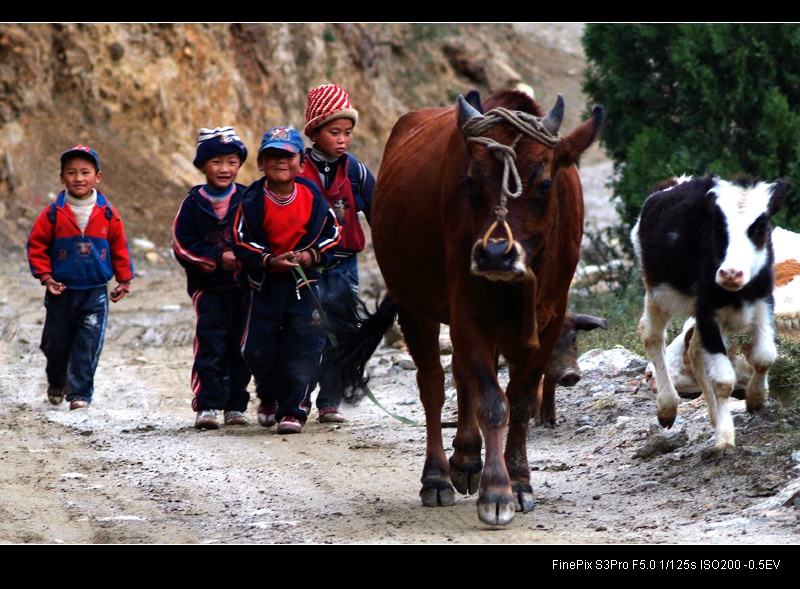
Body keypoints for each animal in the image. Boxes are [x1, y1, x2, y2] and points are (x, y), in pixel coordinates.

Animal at [632, 175, 788, 450]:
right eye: (717, 226)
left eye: (759, 225)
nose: (730, 273)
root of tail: (675, 181)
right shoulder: (707, 312)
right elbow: (723, 380)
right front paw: (725, 437)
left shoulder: (764, 301)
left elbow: (764, 356)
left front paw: (756, 399)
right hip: (657, 293)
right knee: (653, 337)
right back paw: (667, 408)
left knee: (694, 348)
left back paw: (715, 417)